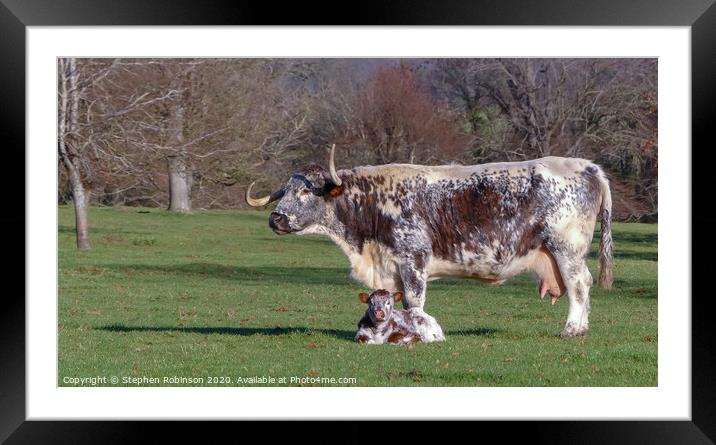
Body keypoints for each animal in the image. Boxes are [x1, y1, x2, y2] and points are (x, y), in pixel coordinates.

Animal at [246, 146, 608, 336]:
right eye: (285, 191)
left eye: (306, 191)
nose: (275, 219)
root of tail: (586, 165)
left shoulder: (413, 260)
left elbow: (414, 301)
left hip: (567, 249)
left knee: (579, 284)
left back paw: (572, 329)